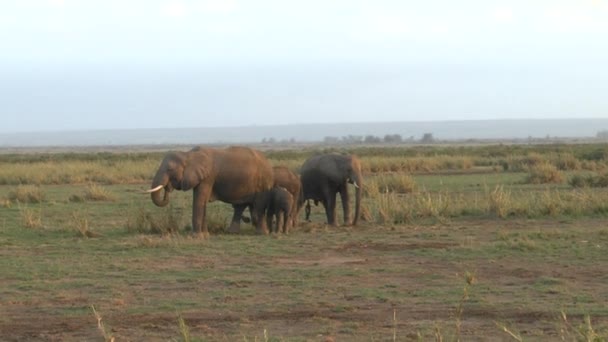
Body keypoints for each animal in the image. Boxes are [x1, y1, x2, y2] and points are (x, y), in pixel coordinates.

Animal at [145, 146, 274, 236]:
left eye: (170, 169)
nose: (167, 187)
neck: (188, 154)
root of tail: (268, 162)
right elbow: (202, 202)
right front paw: (205, 234)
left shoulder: (207, 177)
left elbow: (199, 201)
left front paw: (196, 236)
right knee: (241, 207)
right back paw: (233, 232)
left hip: (263, 183)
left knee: (258, 206)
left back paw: (261, 233)